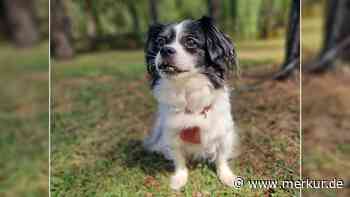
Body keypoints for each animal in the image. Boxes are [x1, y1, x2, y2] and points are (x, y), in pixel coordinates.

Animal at [142, 16, 238, 189]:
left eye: (190, 41)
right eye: (160, 42)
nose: (165, 50)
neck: (186, 88)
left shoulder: (223, 133)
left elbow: (221, 158)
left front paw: (226, 176)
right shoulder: (172, 134)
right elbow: (179, 160)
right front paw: (179, 179)